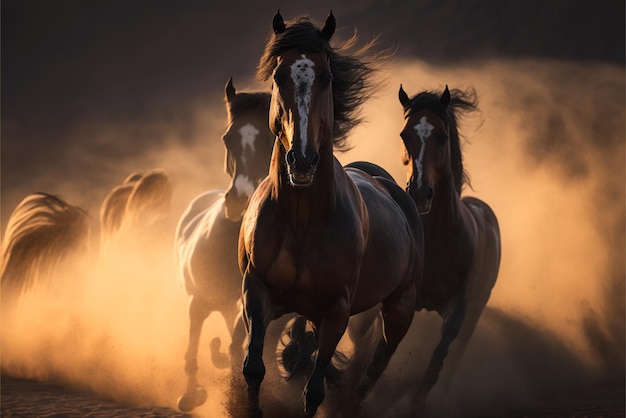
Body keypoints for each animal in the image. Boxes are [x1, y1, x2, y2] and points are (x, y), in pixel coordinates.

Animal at [174, 77, 274, 412]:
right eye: (228, 138)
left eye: (271, 137)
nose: (239, 200)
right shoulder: (199, 300)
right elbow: (192, 346)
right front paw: (189, 396)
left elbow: (236, 348)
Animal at [239, 11, 424, 416]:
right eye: (279, 75)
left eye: (325, 77)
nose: (303, 159)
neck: (302, 221)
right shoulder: (257, 290)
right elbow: (254, 367)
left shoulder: (337, 311)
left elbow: (315, 391)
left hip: (399, 311)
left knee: (371, 371)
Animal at [398, 85, 500, 408]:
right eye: (405, 134)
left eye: (442, 137)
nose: (419, 193)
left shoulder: (458, 307)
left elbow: (438, 360)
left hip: (477, 308)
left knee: (454, 359)